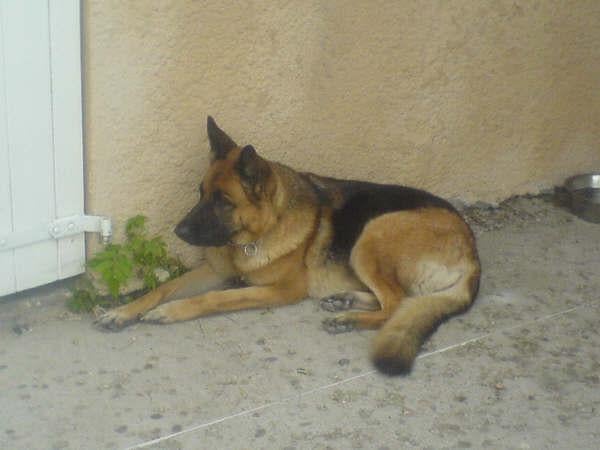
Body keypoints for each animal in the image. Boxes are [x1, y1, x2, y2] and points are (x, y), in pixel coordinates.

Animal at [99, 115, 482, 372]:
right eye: (200, 193)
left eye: (224, 202)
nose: (179, 231)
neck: (261, 233)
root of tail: (471, 249)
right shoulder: (213, 270)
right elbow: (161, 288)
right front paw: (124, 311)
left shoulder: (280, 290)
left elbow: (215, 298)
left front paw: (169, 312)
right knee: (396, 298)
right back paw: (345, 300)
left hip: (372, 233)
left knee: (397, 304)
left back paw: (349, 318)